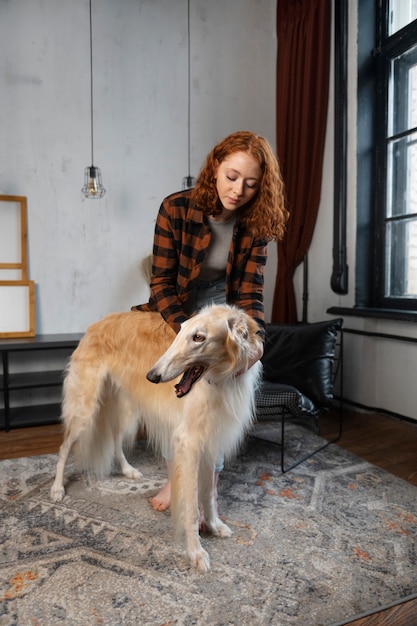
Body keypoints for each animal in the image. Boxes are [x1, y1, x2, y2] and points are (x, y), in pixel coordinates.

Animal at [50, 302, 262, 572]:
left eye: (199, 337)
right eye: (181, 330)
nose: (152, 376)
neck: (221, 380)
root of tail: (94, 327)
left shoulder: (211, 440)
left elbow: (208, 495)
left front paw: (214, 526)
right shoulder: (189, 442)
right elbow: (191, 506)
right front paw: (196, 552)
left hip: (125, 408)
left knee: (115, 440)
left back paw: (128, 470)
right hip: (85, 410)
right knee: (64, 447)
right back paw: (57, 489)